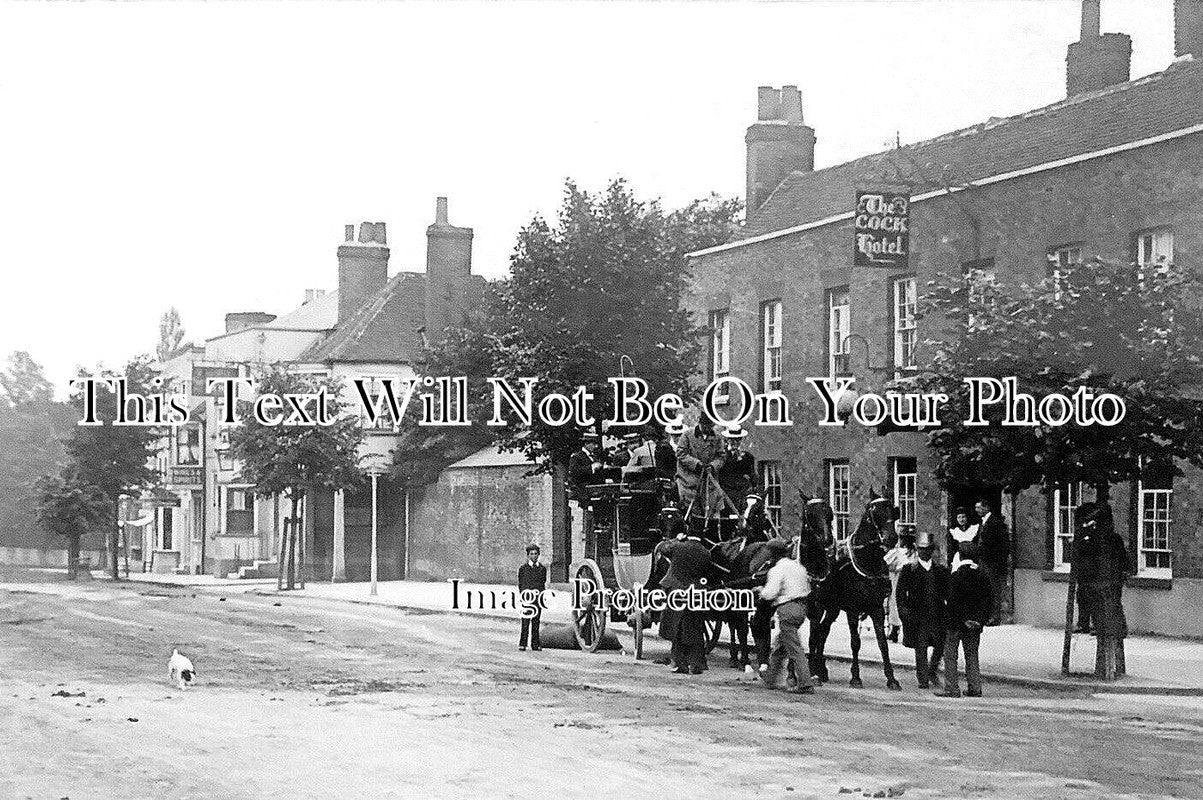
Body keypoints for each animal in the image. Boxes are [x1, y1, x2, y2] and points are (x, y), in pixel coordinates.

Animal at [808, 486, 904, 688]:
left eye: (893, 510)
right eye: (874, 512)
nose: (891, 538)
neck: (867, 559)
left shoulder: (876, 608)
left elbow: (882, 643)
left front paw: (891, 678)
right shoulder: (853, 609)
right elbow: (855, 642)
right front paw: (855, 676)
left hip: (832, 608)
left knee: (822, 632)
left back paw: (821, 669)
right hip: (820, 606)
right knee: (817, 632)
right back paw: (815, 669)